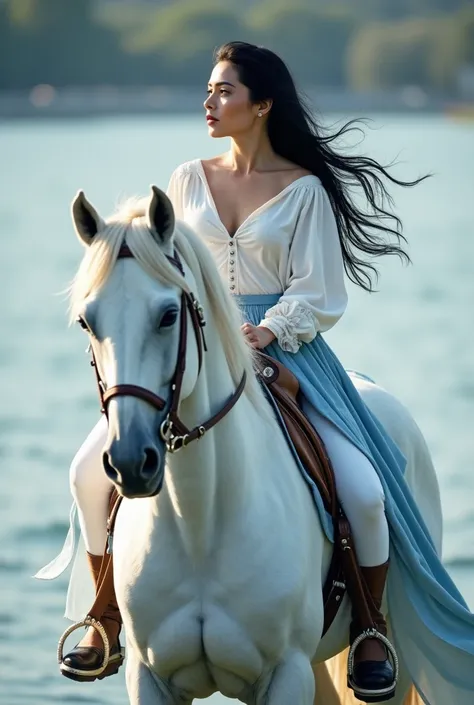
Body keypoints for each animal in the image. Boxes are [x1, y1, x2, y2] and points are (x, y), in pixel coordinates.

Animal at [67, 187, 440, 704]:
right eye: (87, 322)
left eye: (168, 316)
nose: (129, 462)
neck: (200, 522)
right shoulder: (149, 676)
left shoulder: (286, 672)